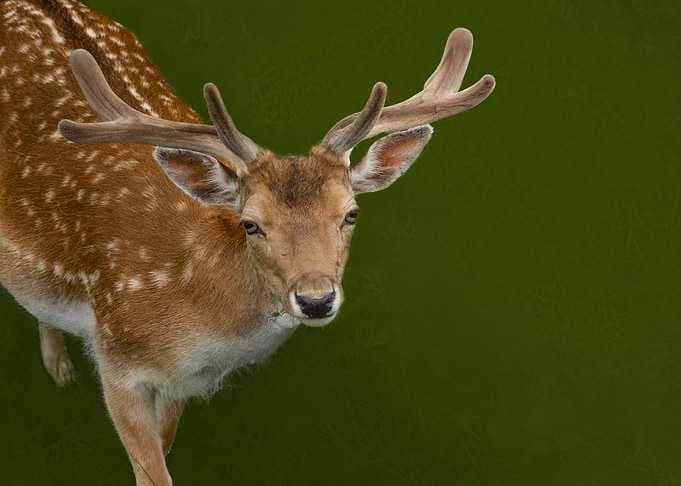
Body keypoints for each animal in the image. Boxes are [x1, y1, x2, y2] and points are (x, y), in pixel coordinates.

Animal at [0, 0, 495, 484]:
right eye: (251, 224)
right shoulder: (116, 361)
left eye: (351, 214)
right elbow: (152, 474)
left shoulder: (179, 383)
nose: (316, 299)